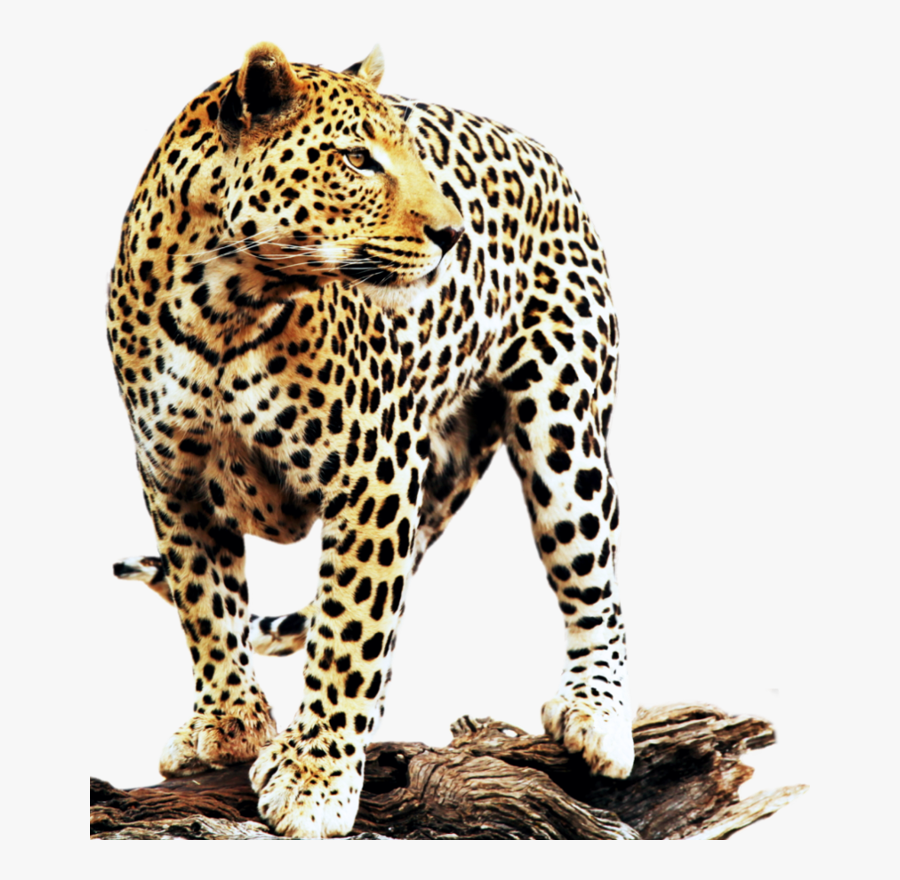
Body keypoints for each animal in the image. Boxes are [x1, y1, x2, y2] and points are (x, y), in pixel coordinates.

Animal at [107, 41, 633, 838]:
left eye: (412, 155)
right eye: (358, 160)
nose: (454, 235)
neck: (222, 306)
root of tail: (543, 155)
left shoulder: (373, 475)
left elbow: (350, 631)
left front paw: (313, 779)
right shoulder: (172, 477)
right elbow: (208, 606)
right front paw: (229, 723)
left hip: (564, 430)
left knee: (593, 583)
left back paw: (596, 711)